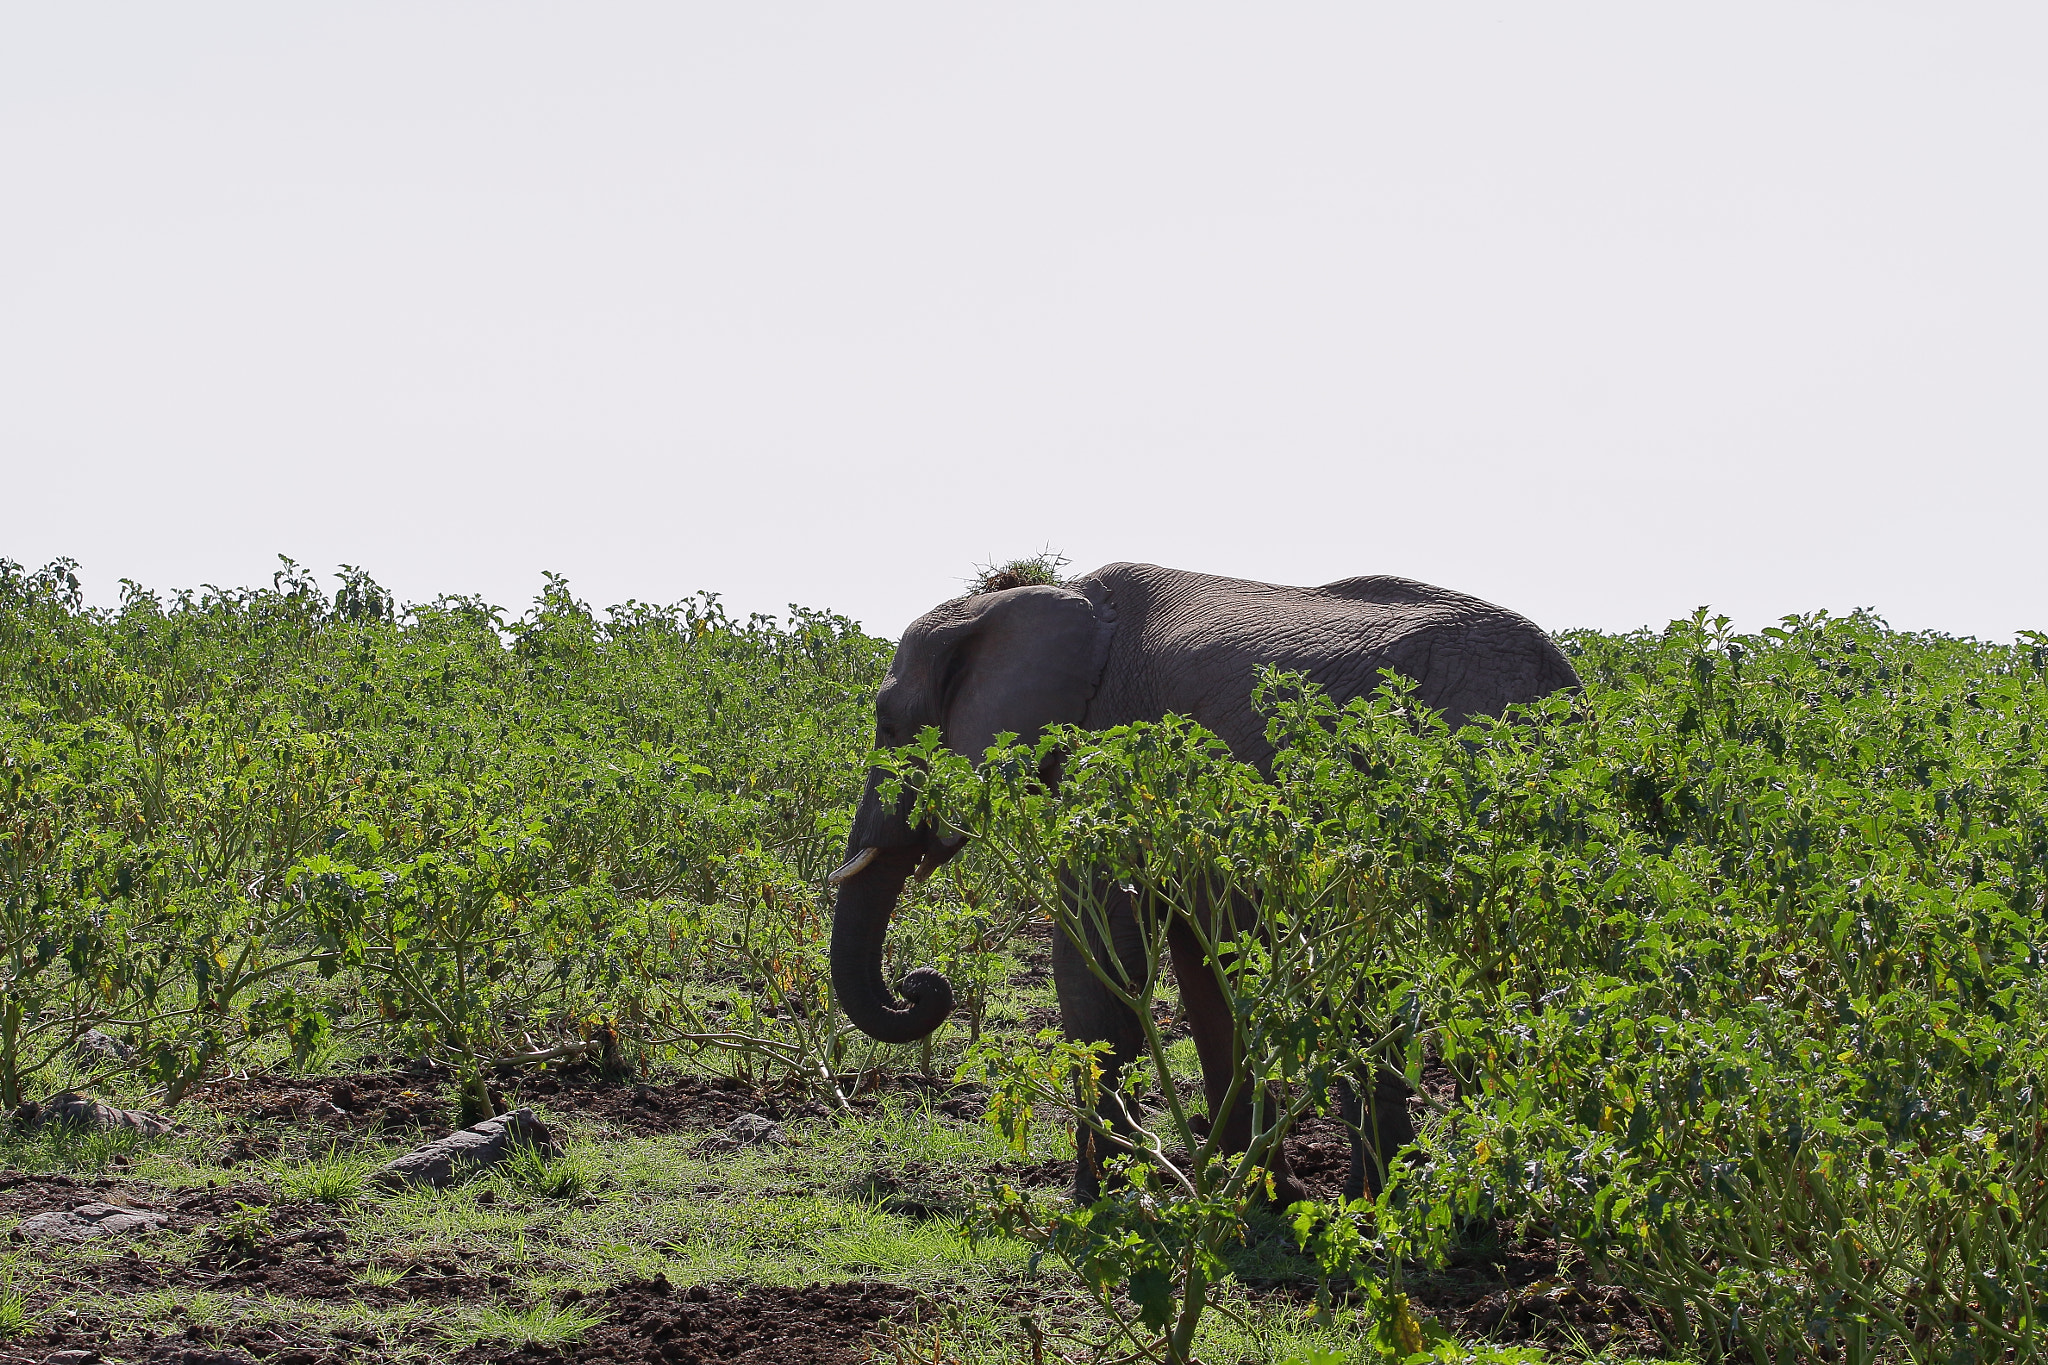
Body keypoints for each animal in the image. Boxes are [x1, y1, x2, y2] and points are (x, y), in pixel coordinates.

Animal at [831, 560, 1581, 1203]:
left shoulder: (1115, 750)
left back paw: (1385, 1205)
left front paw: (1104, 1201)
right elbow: (1202, 962)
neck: (1032, 600)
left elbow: (1101, 949)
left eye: (888, 726)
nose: (919, 986)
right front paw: (1255, 1193)